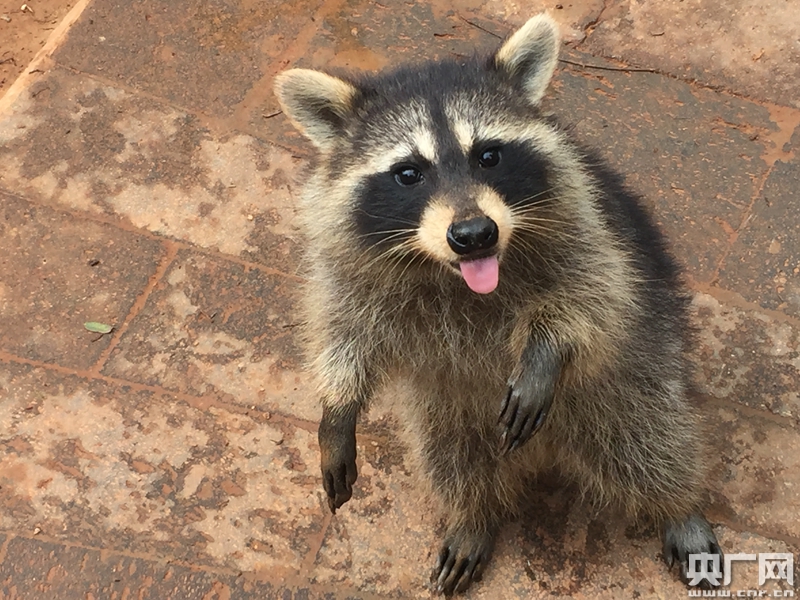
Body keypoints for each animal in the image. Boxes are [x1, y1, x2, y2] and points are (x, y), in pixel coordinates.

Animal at [276, 12, 724, 596]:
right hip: (446, 404)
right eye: (408, 173)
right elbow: (343, 331)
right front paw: (336, 407)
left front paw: (546, 349)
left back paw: (678, 506)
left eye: (488, 155)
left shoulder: (588, 223)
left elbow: (593, 292)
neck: (457, 277)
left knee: (648, 437)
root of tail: (547, 450)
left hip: (632, 369)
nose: (473, 235)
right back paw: (473, 515)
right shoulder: (348, 265)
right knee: (452, 458)